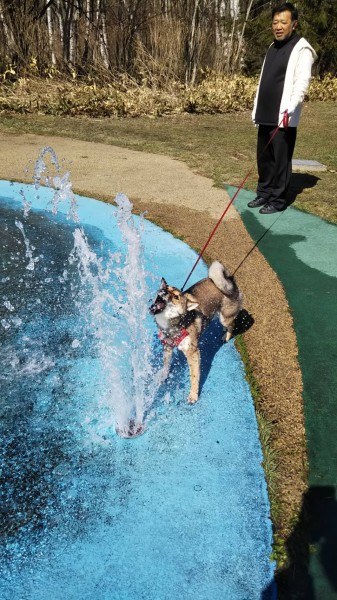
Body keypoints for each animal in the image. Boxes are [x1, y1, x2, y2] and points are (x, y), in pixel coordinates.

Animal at [150, 262, 242, 404]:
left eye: (176, 297)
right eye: (165, 287)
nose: (163, 291)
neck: (173, 325)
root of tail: (230, 280)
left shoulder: (193, 352)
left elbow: (194, 376)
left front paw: (193, 395)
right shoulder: (168, 346)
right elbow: (166, 365)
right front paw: (163, 377)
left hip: (225, 317)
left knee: (232, 325)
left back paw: (225, 336)